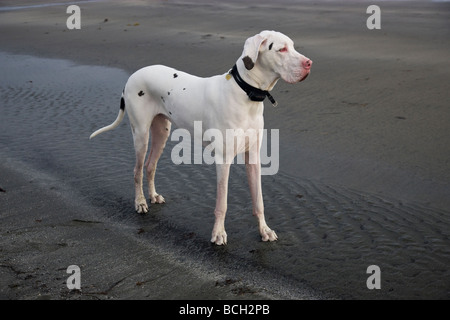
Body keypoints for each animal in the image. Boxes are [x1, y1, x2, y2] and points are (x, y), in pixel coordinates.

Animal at [89, 30, 312, 245]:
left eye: (293, 46)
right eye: (282, 49)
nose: (309, 63)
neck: (245, 94)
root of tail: (133, 75)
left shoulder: (253, 158)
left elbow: (259, 201)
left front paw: (264, 230)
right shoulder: (223, 160)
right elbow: (222, 204)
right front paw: (218, 233)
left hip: (162, 132)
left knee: (150, 166)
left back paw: (152, 196)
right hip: (141, 135)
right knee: (137, 171)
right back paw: (140, 202)